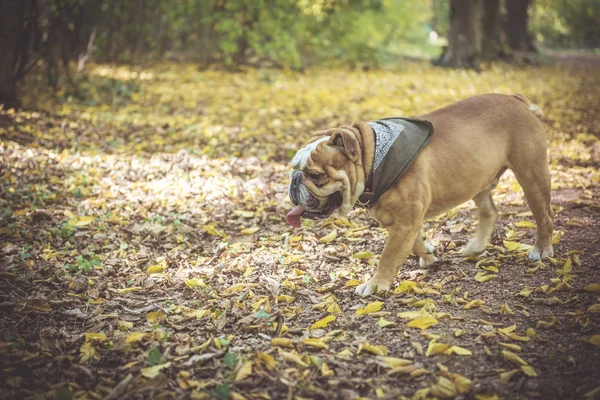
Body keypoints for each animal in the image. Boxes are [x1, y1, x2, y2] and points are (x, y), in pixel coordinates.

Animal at [286, 92, 552, 296]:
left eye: (315, 175)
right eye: (294, 168)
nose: (295, 180)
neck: (372, 158)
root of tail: (517, 99)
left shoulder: (405, 221)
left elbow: (389, 255)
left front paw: (375, 284)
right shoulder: (405, 221)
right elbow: (413, 242)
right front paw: (429, 254)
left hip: (532, 177)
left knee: (544, 218)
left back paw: (541, 249)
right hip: (478, 180)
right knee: (489, 212)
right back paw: (475, 247)